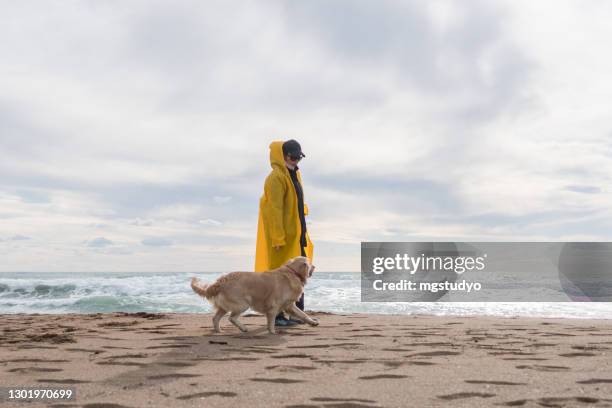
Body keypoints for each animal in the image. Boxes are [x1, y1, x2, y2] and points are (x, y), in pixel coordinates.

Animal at [189, 256, 318, 334]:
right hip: (243, 304)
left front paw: (312, 322)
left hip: (224, 306)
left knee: (215, 318)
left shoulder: (289, 305)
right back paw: (243, 328)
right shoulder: (274, 305)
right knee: (232, 318)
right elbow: (271, 320)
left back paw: (219, 331)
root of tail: (221, 280)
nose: (315, 266)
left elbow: (303, 314)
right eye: (310, 263)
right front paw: (272, 331)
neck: (293, 273)